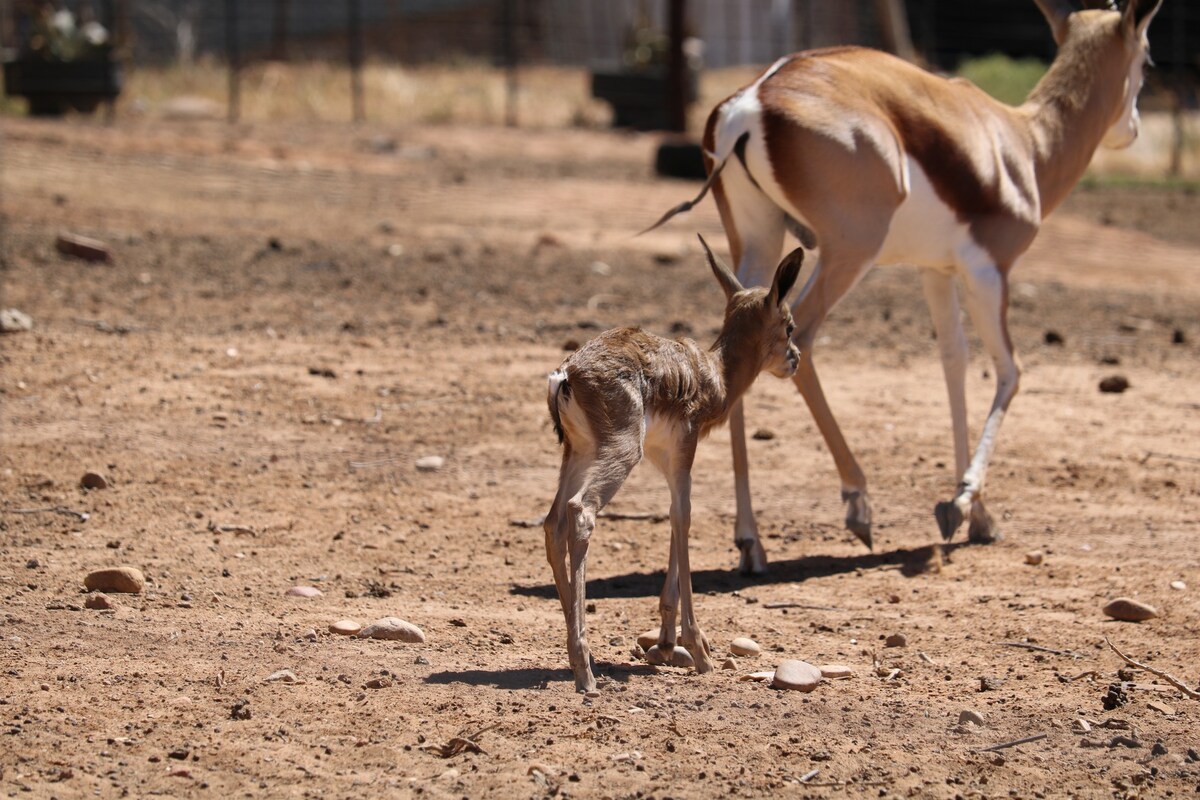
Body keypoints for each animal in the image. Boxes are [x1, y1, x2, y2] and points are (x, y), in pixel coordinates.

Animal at [549, 237, 801, 695]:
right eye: (789, 325)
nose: (795, 358)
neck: (715, 374)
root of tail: (567, 374)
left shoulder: (667, 459)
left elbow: (671, 518)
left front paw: (666, 643)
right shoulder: (685, 452)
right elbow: (683, 518)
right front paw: (698, 649)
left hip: (579, 454)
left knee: (552, 521)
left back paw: (581, 657)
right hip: (619, 454)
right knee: (580, 512)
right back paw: (585, 674)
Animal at [648, 0, 1161, 575]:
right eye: (1147, 60)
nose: (1132, 128)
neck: (1021, 146)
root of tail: (751, 102)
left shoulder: (935, 271)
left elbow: (954, 365)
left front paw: (978, 515)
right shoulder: (989, 270)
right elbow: (1010, 371)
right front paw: (961, 501)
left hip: (758, 239)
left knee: (744, 330)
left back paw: (751, 542)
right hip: (850, 251)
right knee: (806, 338)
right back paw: (857, 503)